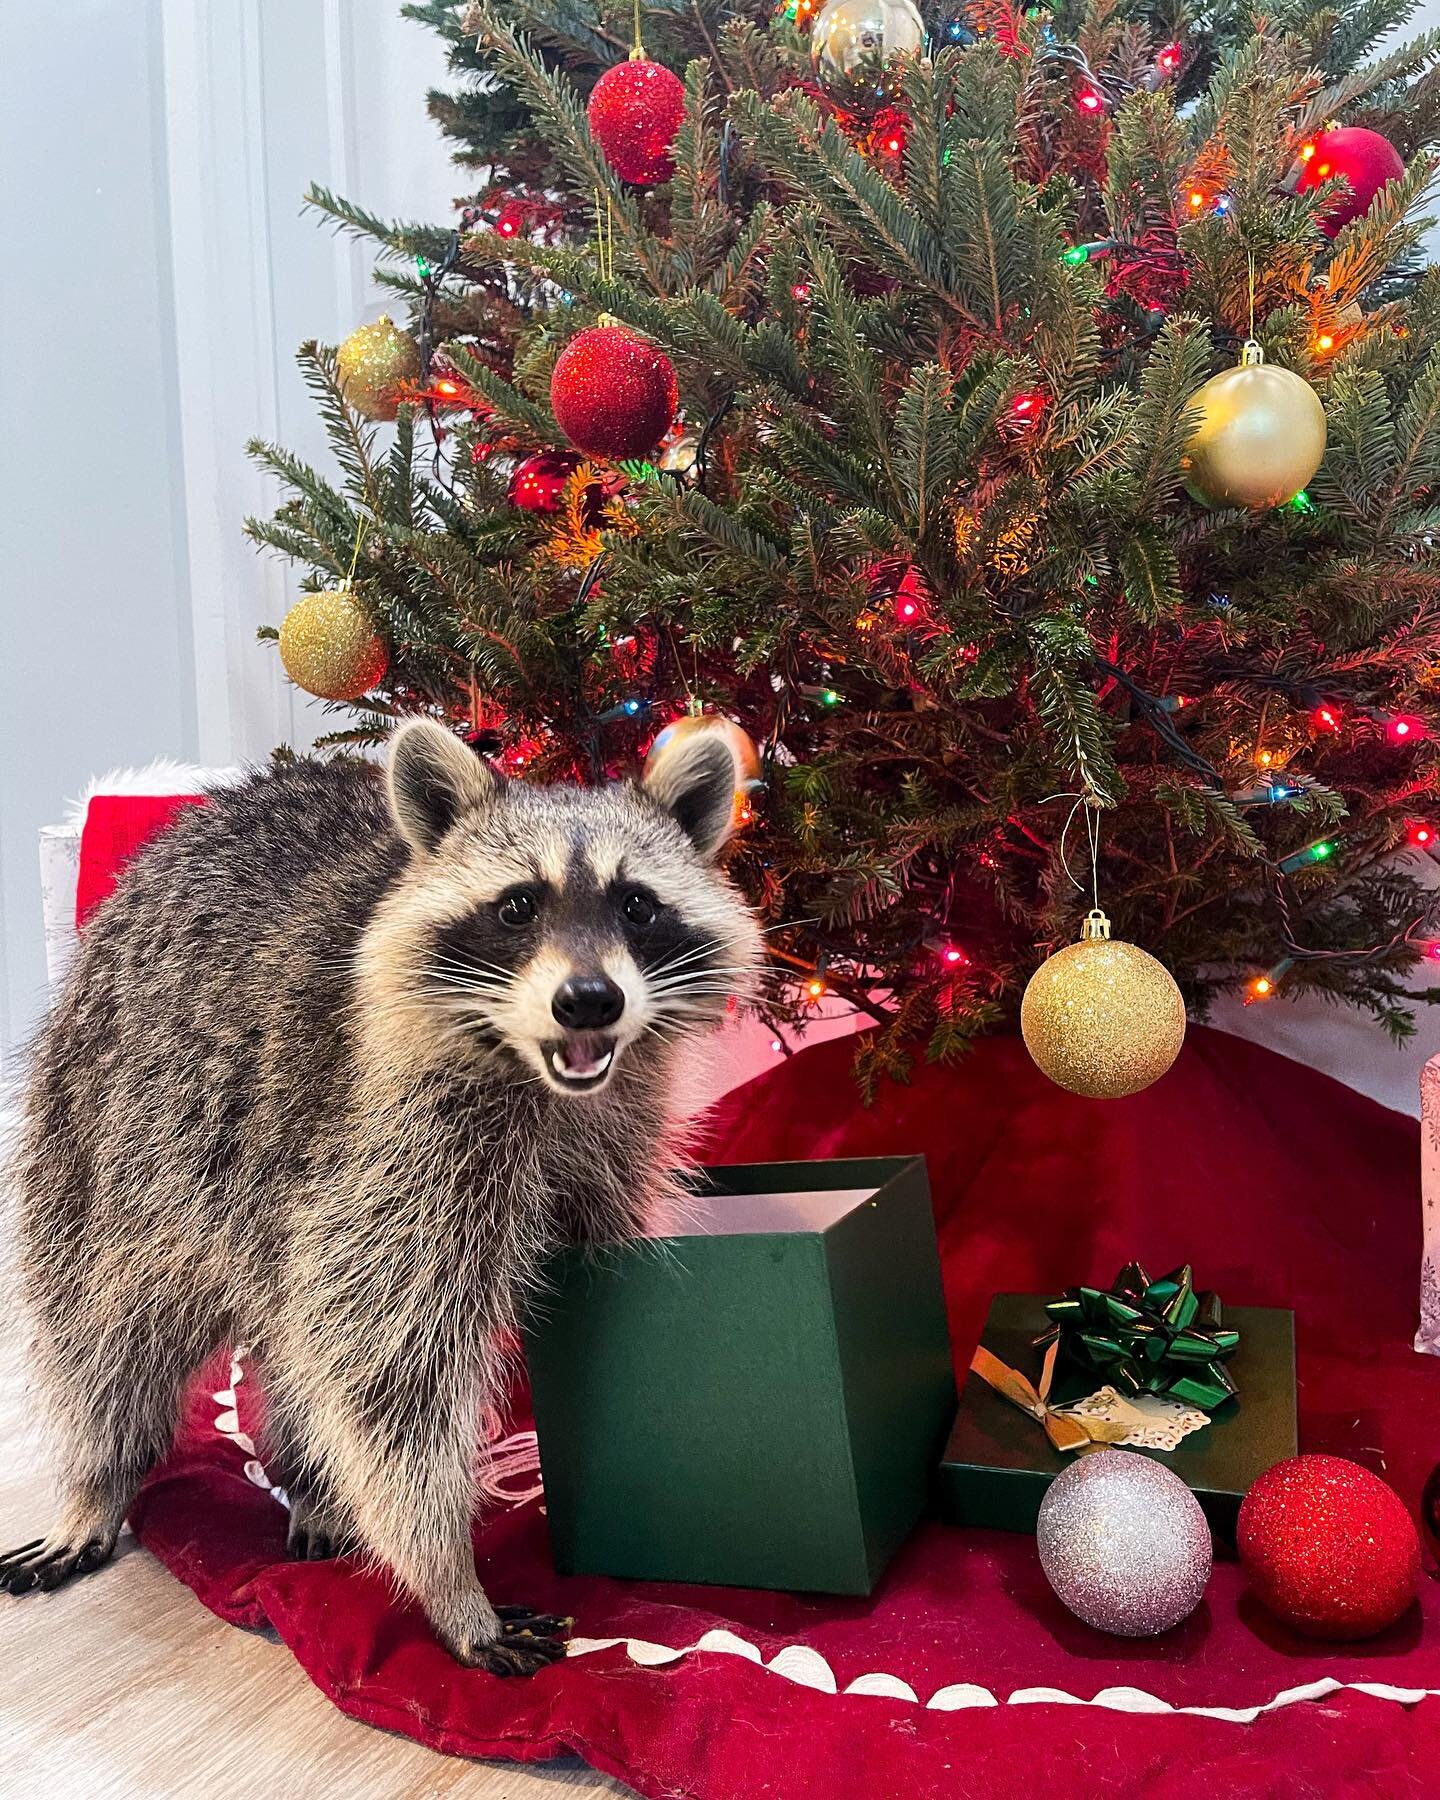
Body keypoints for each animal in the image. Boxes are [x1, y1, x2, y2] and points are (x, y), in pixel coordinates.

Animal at [2, 716, 763, 1670]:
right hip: (107, 1129)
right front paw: (449, 1579)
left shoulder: (613, 1137)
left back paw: (309, 1485)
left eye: (637, 905)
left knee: (283, 1335)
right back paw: (99, 1476)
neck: (541, 1081)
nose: (589, 1001)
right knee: (106, 1325)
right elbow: (386, 1370)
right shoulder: (389, 1148)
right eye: (518, 907)